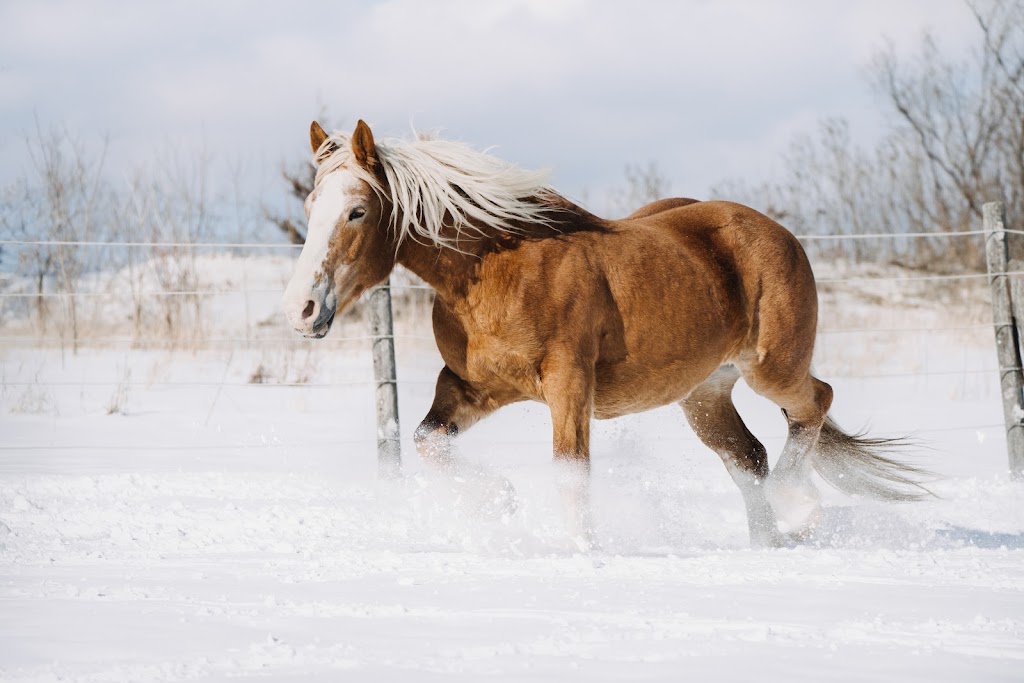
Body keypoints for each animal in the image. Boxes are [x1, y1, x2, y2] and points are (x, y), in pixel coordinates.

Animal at [278, 120, 929, 548]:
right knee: (749, 456)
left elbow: (571, 471)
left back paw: (800, 507)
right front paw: (501, 503)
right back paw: (768, 541)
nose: (301, 310)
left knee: (815, 403)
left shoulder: (569, 385)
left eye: (358, 211)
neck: (496, 270)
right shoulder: (470, 388)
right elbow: (426, 441)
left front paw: (581, 553)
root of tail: (775, 232)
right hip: (705, 394)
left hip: (772, 367)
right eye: (310, 208)